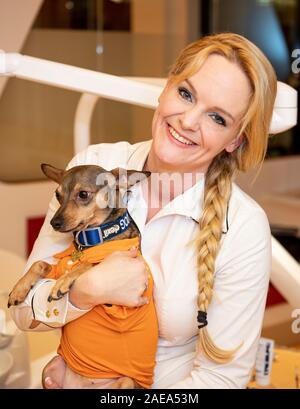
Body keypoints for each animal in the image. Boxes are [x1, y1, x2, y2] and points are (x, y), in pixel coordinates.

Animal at [8, 163, 158, 388]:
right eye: (58, 195)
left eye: (83, 194)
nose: (54, 222)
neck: (91, 239)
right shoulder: (55, 266)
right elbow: (38, 263)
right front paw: (19, 289)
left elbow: (90, 264)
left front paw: (62, 283)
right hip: (50, 368)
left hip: (126, 382)